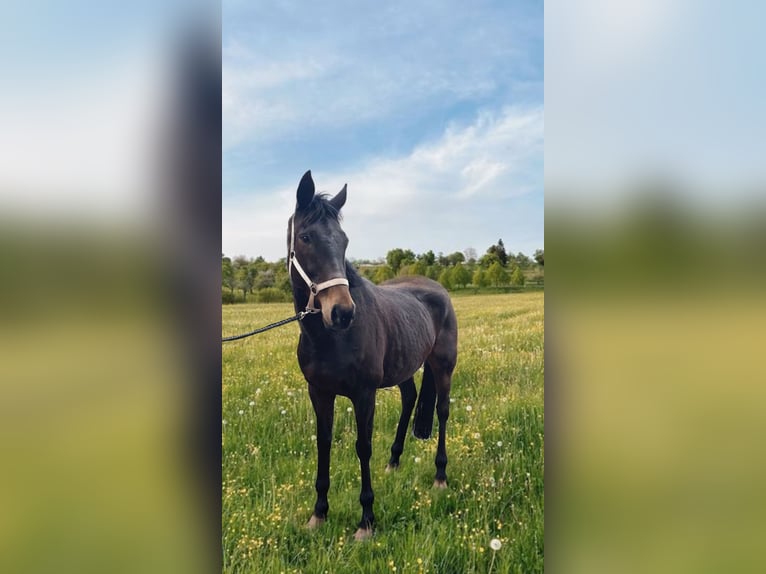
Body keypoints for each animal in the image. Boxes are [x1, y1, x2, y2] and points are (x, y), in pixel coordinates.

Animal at [286, 170, 458, 540]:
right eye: (306, 237)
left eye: (344, 240)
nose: (342, 312)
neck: (330, 338)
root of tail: (437, 289)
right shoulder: (318, 392)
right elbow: (324, 443)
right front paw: (318, 514)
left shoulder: (364, 394)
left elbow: (362, 447)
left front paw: (366, 521)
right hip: (405, 367)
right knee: (409, 398)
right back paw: (393, 463)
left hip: (443, 366)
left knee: (442, 411)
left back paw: (440, 477)